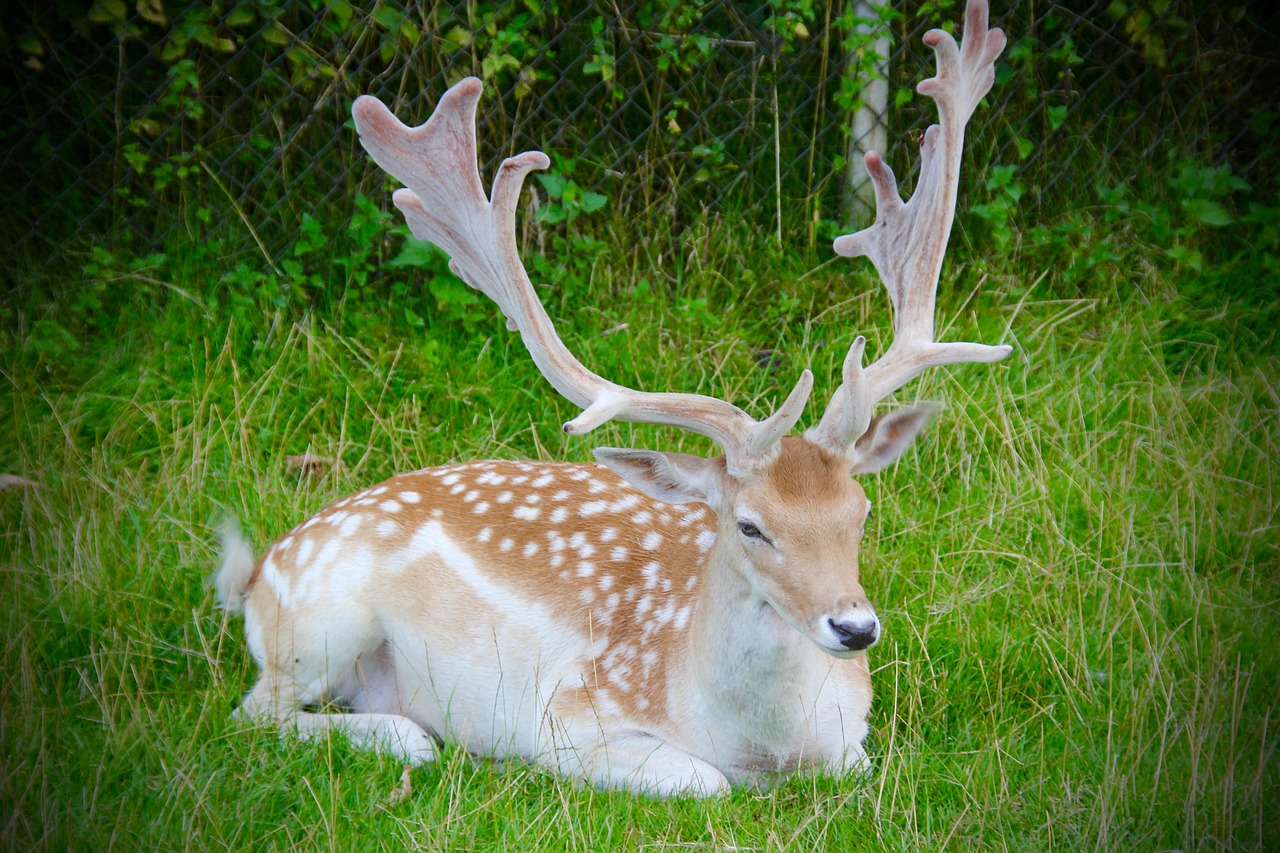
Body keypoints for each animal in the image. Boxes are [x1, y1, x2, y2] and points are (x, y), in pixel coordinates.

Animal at [217, 0, 1008, 794]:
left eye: (860, 512)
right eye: (750, 525)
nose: (855, 627)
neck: (766, 750)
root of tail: (256, 576)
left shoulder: (852, 740)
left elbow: (851, 764)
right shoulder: (571, 715)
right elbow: (703, 780)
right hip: (321, 622)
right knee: (253, 711)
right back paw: (410, 734)